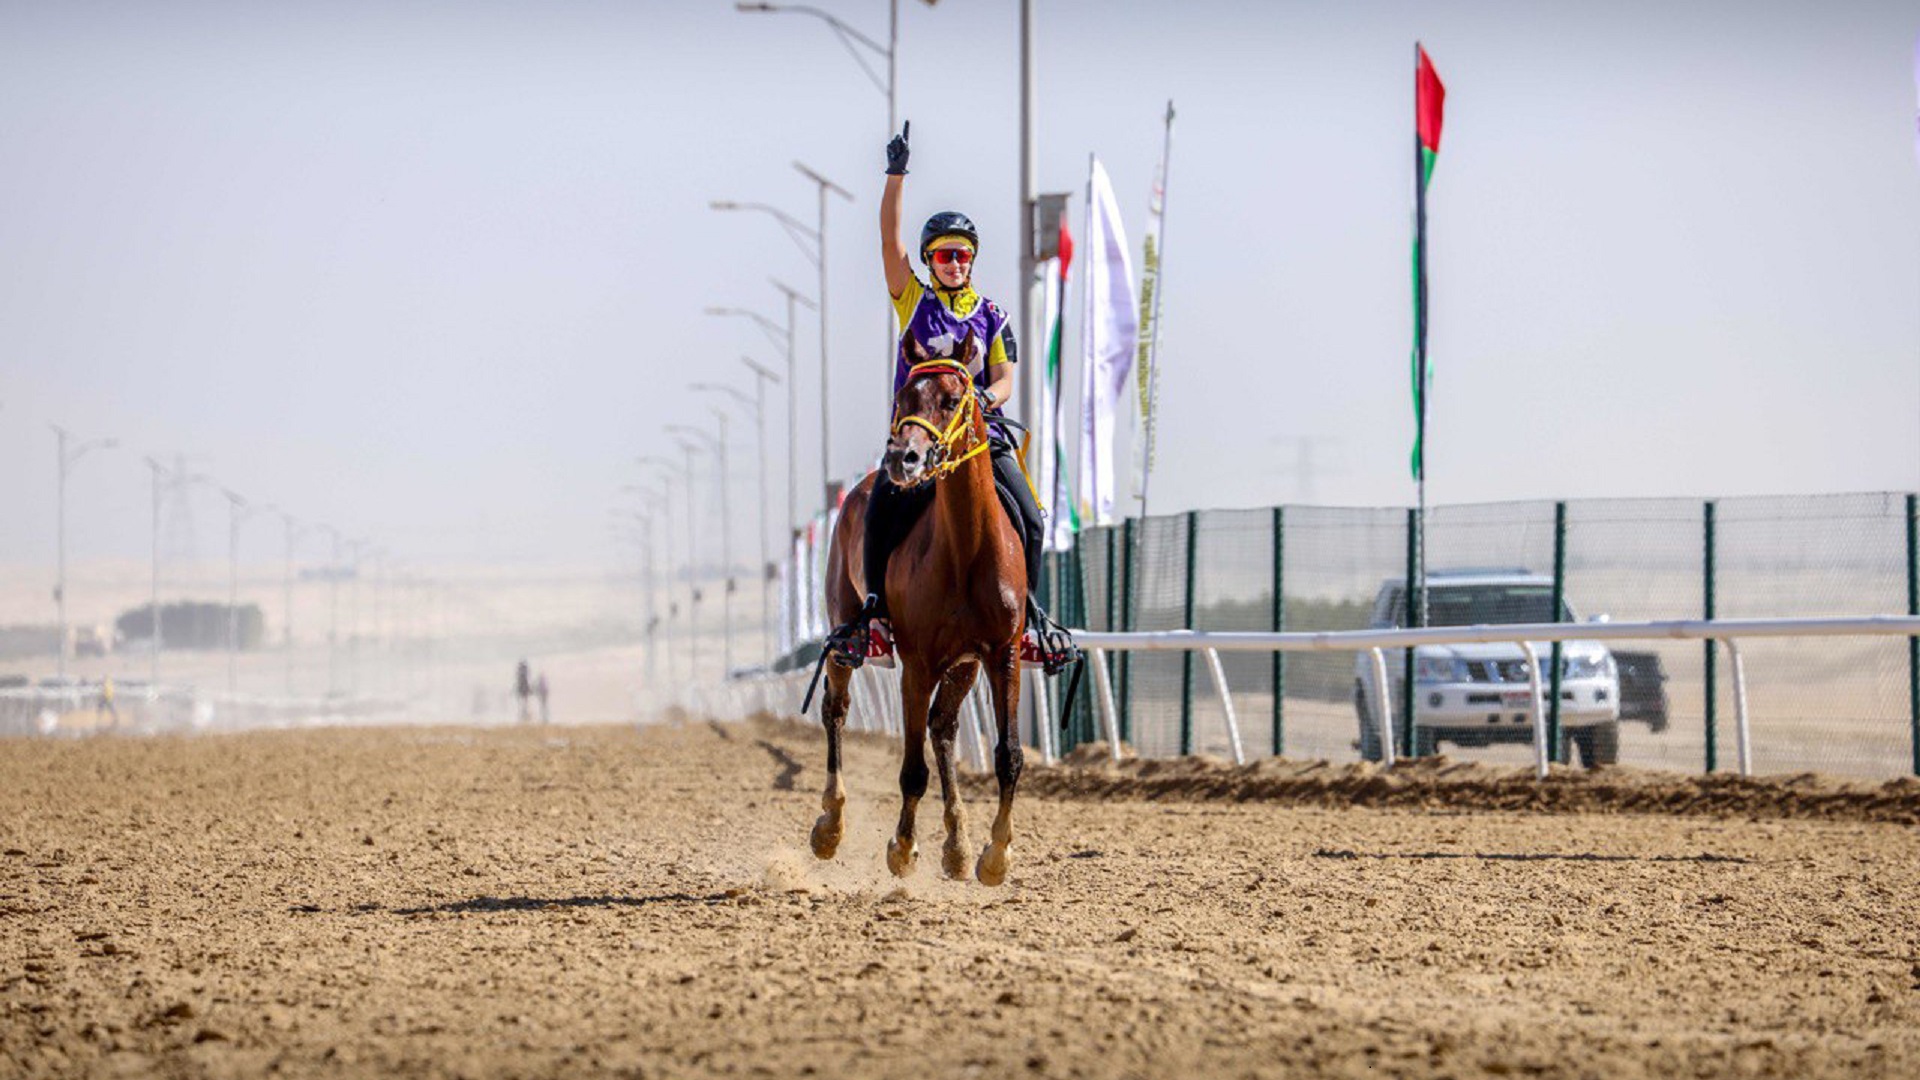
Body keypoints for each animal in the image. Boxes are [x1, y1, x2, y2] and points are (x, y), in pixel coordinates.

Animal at [802, 338, 1029, 883]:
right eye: (903, 396)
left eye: (950, 399)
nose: (902, 459)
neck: (967, 547)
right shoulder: (918, 662)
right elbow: (911, 769)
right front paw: (902, 848)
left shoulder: (1002, 654)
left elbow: (1008, 755)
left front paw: (995, 855)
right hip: (845, 633)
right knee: (836, 709)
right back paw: (830, 826)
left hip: (964, 665)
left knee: (943, 729)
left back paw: (957, 845)